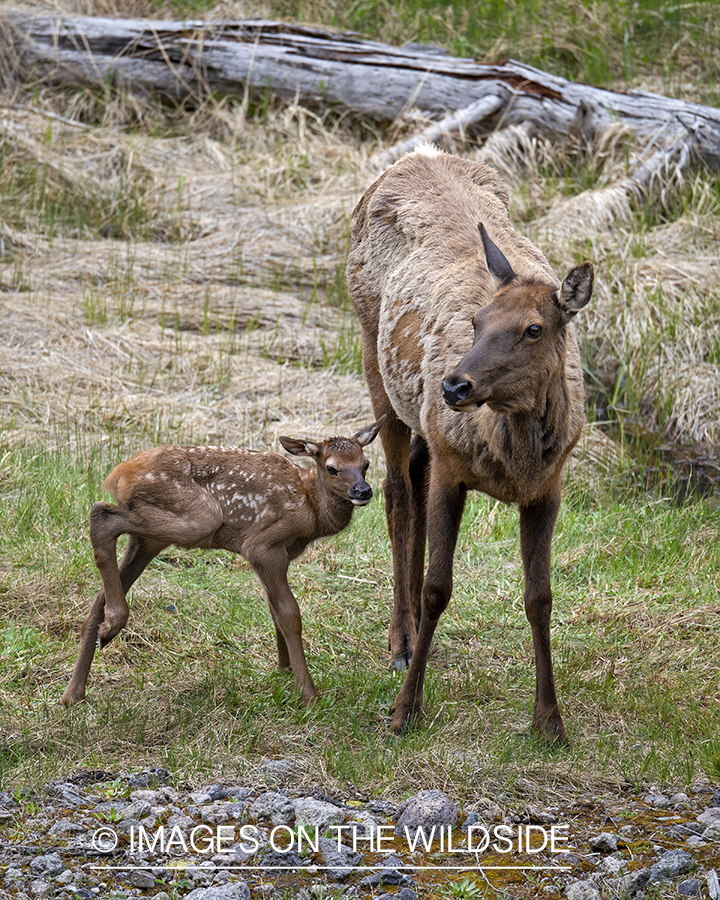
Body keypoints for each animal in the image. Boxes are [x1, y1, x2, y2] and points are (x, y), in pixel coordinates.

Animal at [62, 422, 382, 712]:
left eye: (365, 464)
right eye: (331, 468)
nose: (363, 490)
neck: (310, 508)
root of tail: (120, 473)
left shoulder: (273, 557)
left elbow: (275, 611)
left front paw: (285, 670)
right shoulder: (262, 546)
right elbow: (290, 615)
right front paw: (308, 694)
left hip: (150, 540)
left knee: (98, 597)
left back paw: (75, 690)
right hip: (198, 518)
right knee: (102, 514)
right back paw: (113, 626)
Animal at [346, 144, 592, 740]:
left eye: (534, 329)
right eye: (478, 320)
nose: (454, 385)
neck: (512, 461)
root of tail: (416, 154)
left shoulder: (549, 487)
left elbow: (540, 597)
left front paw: (550, 720)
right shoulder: (453, 467)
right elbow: (439, 587)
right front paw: (404, 710)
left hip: (419, 419)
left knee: (412, 472)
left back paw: (413, 635)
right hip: (372, 354)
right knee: (396, 494)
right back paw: (402, 641)